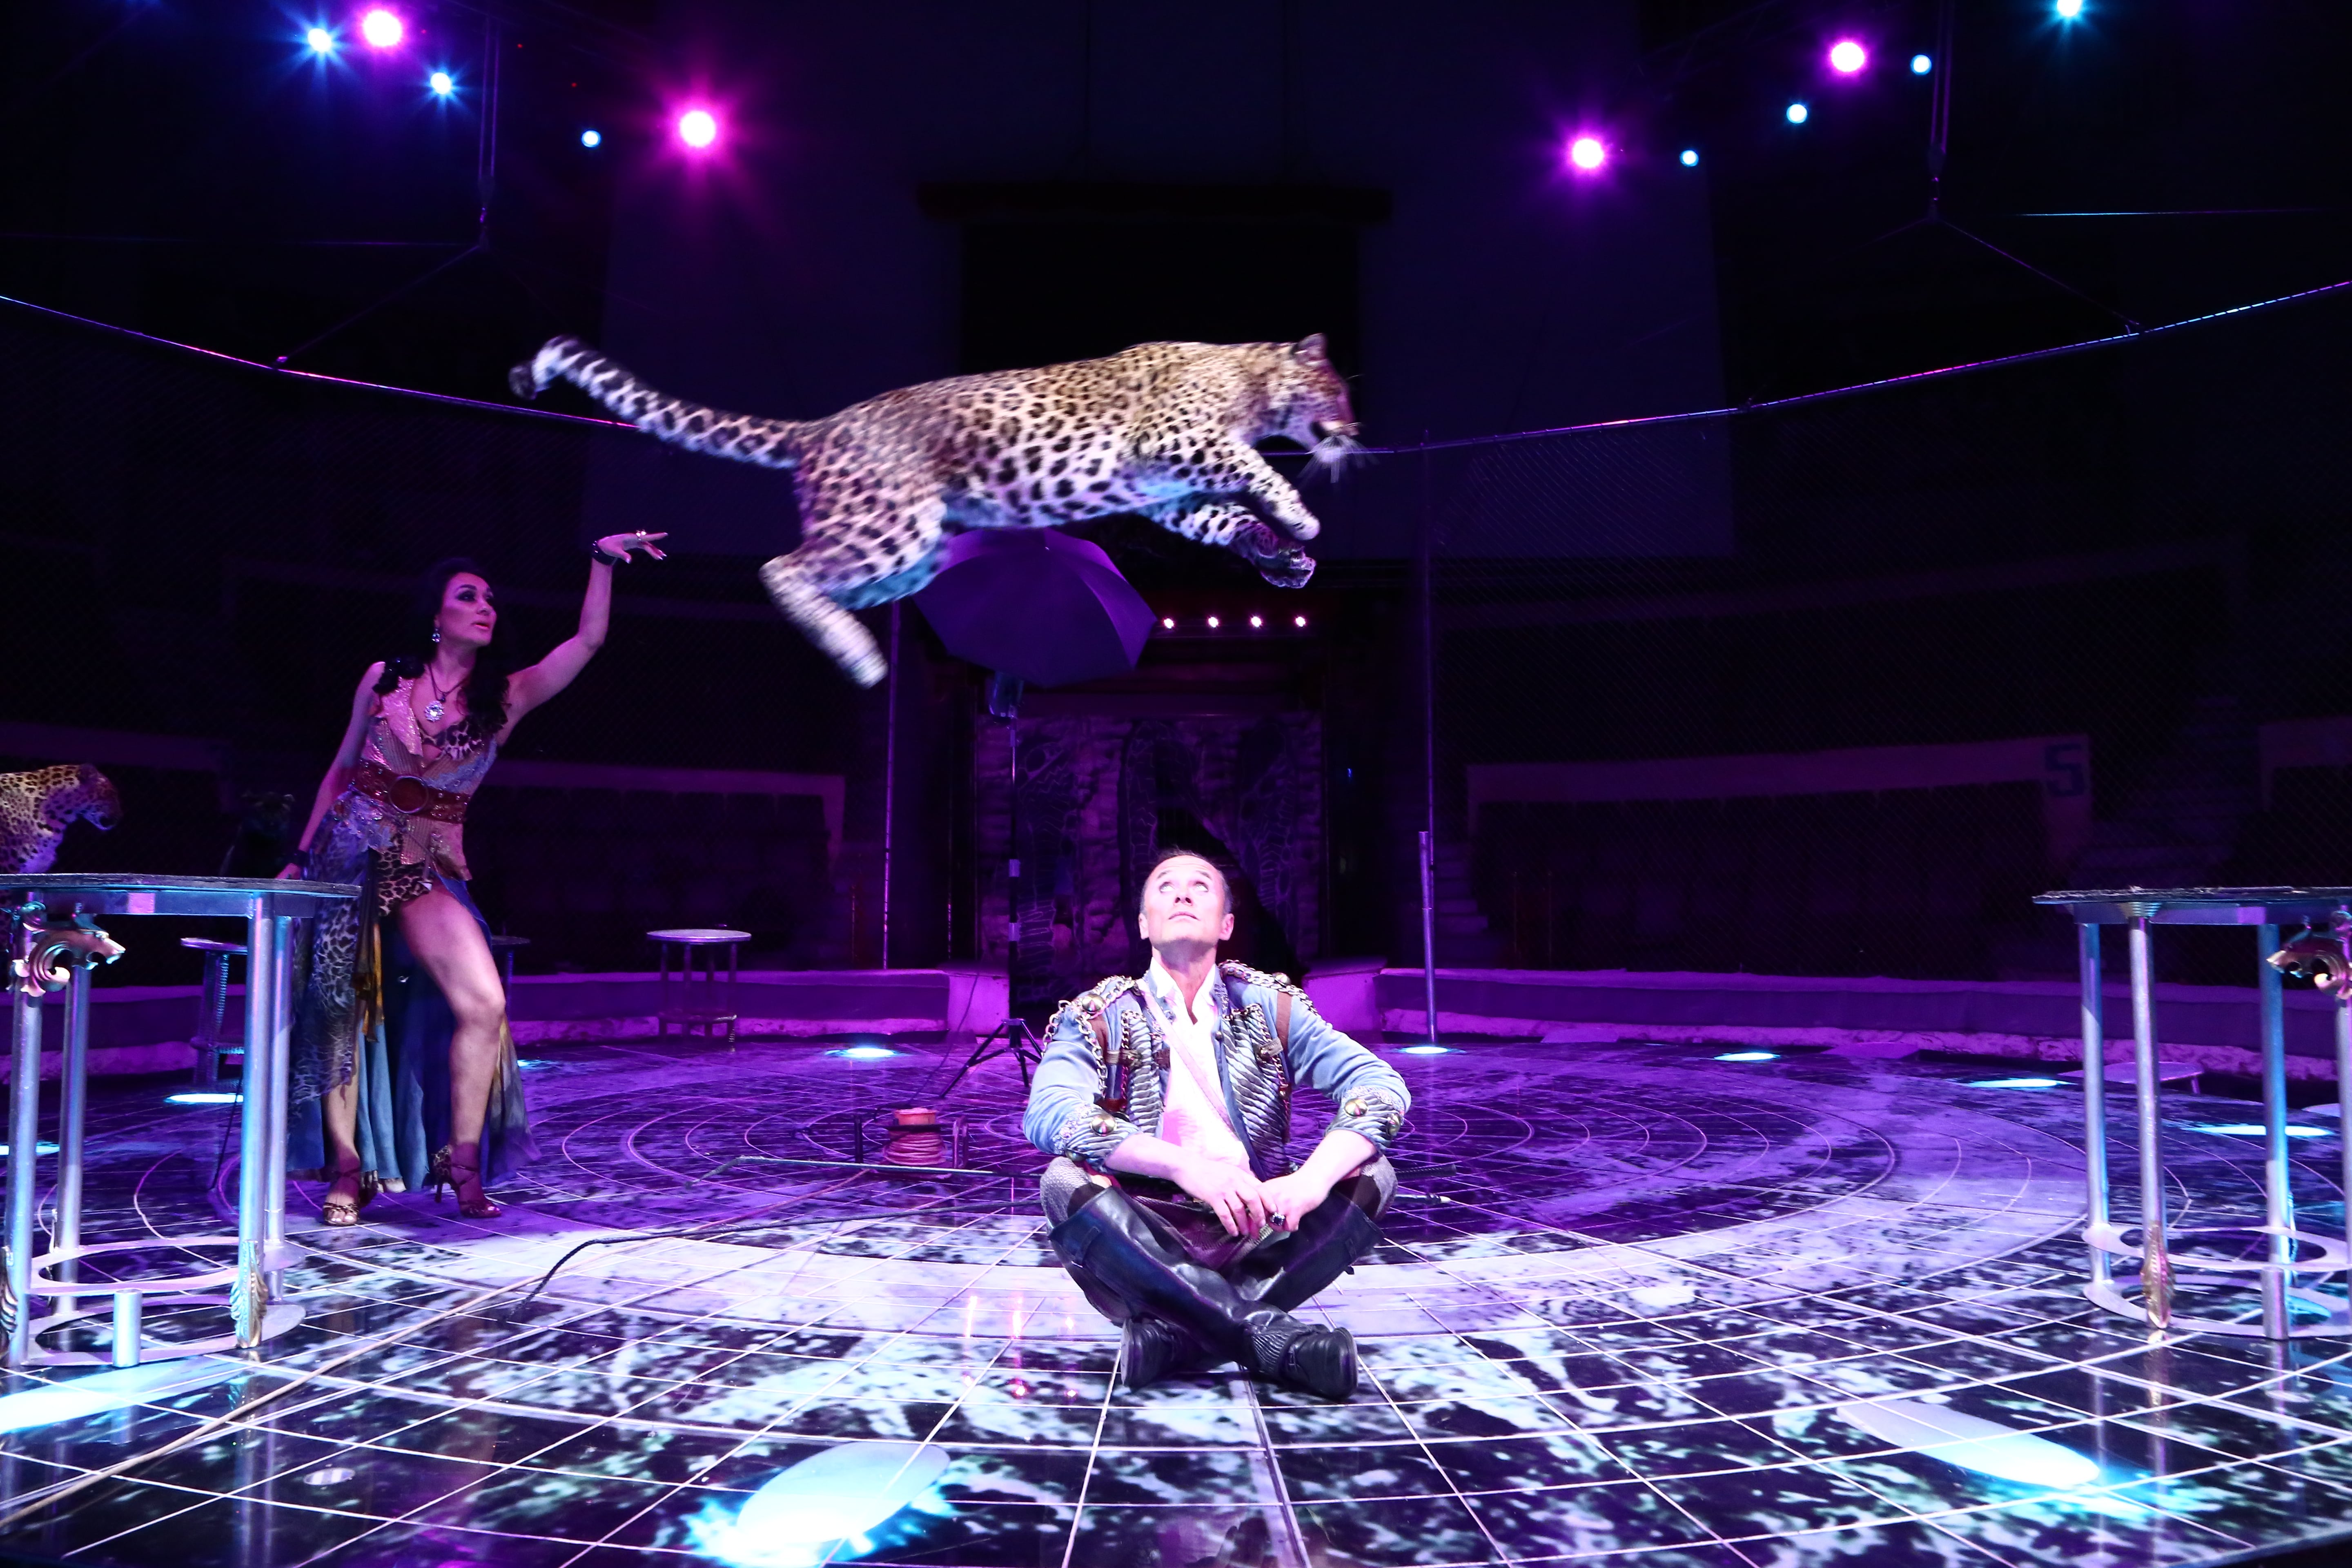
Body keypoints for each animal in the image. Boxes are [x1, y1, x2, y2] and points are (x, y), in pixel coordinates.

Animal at [510, 333, 1359, 686]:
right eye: (1339, 392)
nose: (1354, 429)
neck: (1252, 379)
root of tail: (822, 426)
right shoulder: (1173, 440)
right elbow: (1252, 467)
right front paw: (1301, 517)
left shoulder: (1172, 489)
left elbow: (1222, 515)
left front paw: (1282, 554)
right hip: (887, 528)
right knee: (781, 566)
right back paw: (857, 657)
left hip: (911, 559)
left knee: (821, 579)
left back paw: (851, 644)